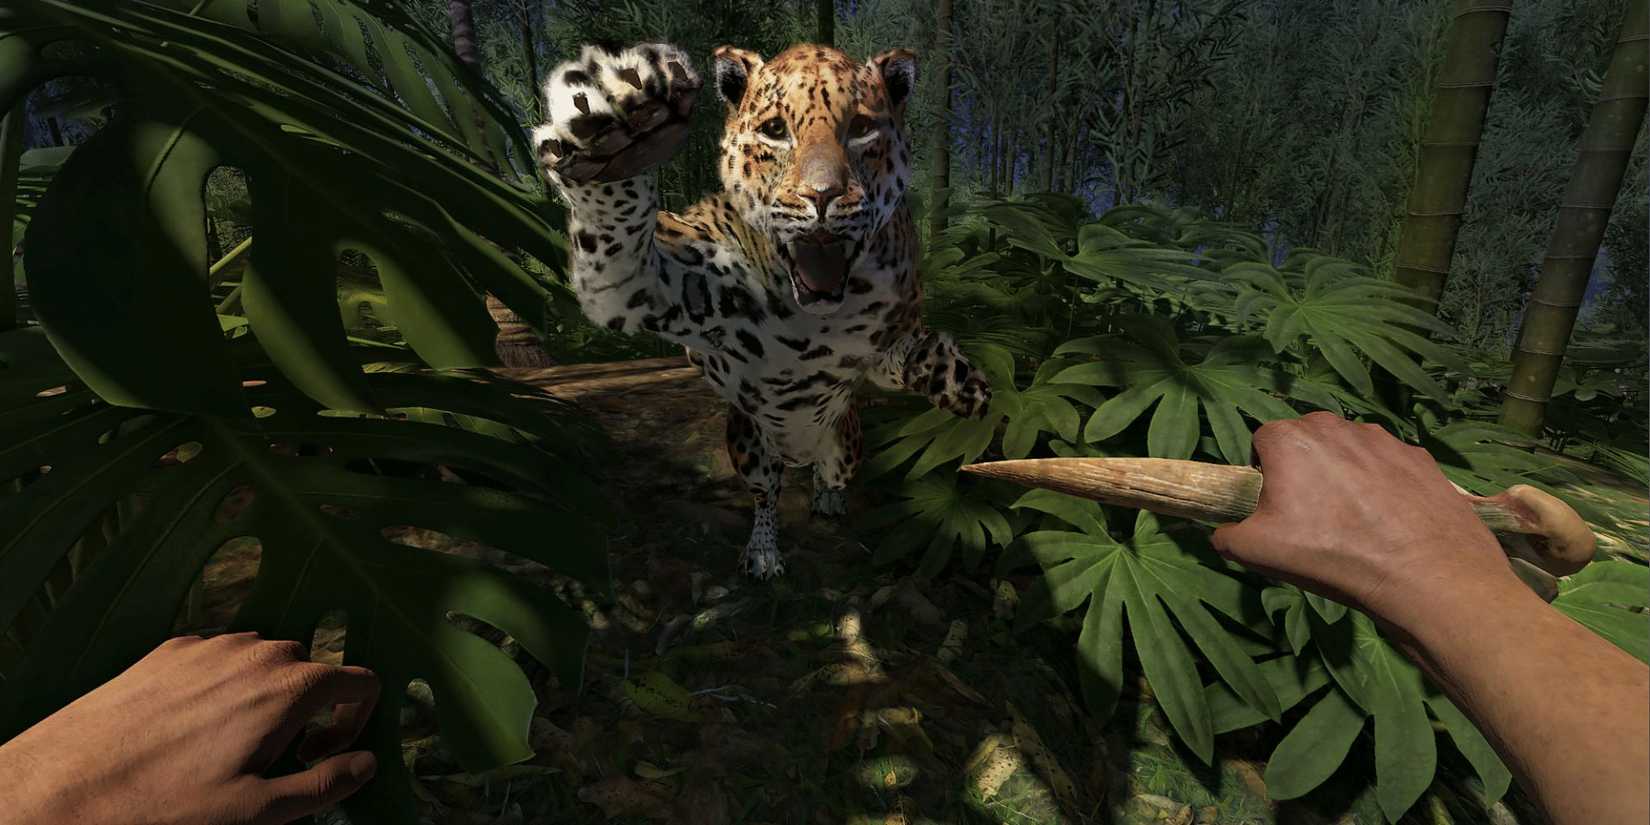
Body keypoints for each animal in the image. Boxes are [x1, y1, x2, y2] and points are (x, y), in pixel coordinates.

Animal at [532, 41, 991, 579]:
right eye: (775, 130)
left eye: (860, 128)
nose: (821, 195)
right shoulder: (654, 285)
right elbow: (617, 233)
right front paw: (615, 121)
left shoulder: (886, 337)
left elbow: (900, 353)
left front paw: (952, 376)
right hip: (749, 441)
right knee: (766, 494)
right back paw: (764, 552)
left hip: (847, 444)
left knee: (830, 473)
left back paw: (828, 497)